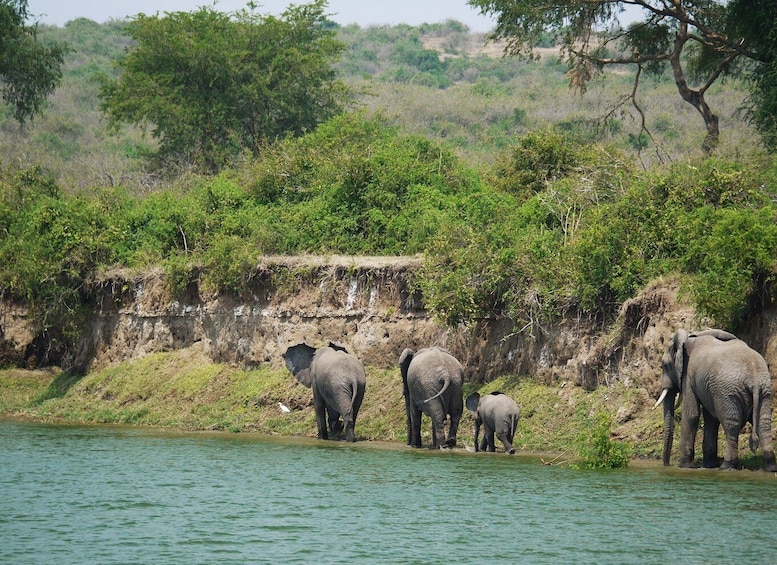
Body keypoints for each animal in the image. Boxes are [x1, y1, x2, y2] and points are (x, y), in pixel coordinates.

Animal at [656, 328, 776, 470]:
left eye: (664, 365)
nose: (667, 465)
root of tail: (754, 379)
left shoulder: (688, 375)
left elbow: (691, 415)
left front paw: (685, 466)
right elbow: (710, 420)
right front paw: (709, 465)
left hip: (728, 392)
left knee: (731, 426)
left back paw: (726, 466)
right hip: (764, 391)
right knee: (763, 425)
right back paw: (770, 468)